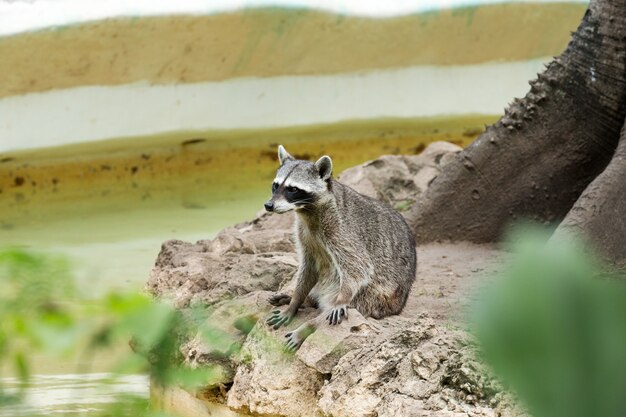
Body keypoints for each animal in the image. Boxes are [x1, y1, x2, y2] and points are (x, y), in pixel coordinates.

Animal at [264, 145, 414, 350]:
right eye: (275, 185)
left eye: (293, 189)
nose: (268, 205)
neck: (307, 210)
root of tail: (400, 304)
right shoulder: (304, 234)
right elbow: (308, 268)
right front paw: (295, 301)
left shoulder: (342, 230)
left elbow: (358, 266)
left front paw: (341, 299)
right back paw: (304, 300)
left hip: (377, 297)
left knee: (337, 308)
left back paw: (308, 326)